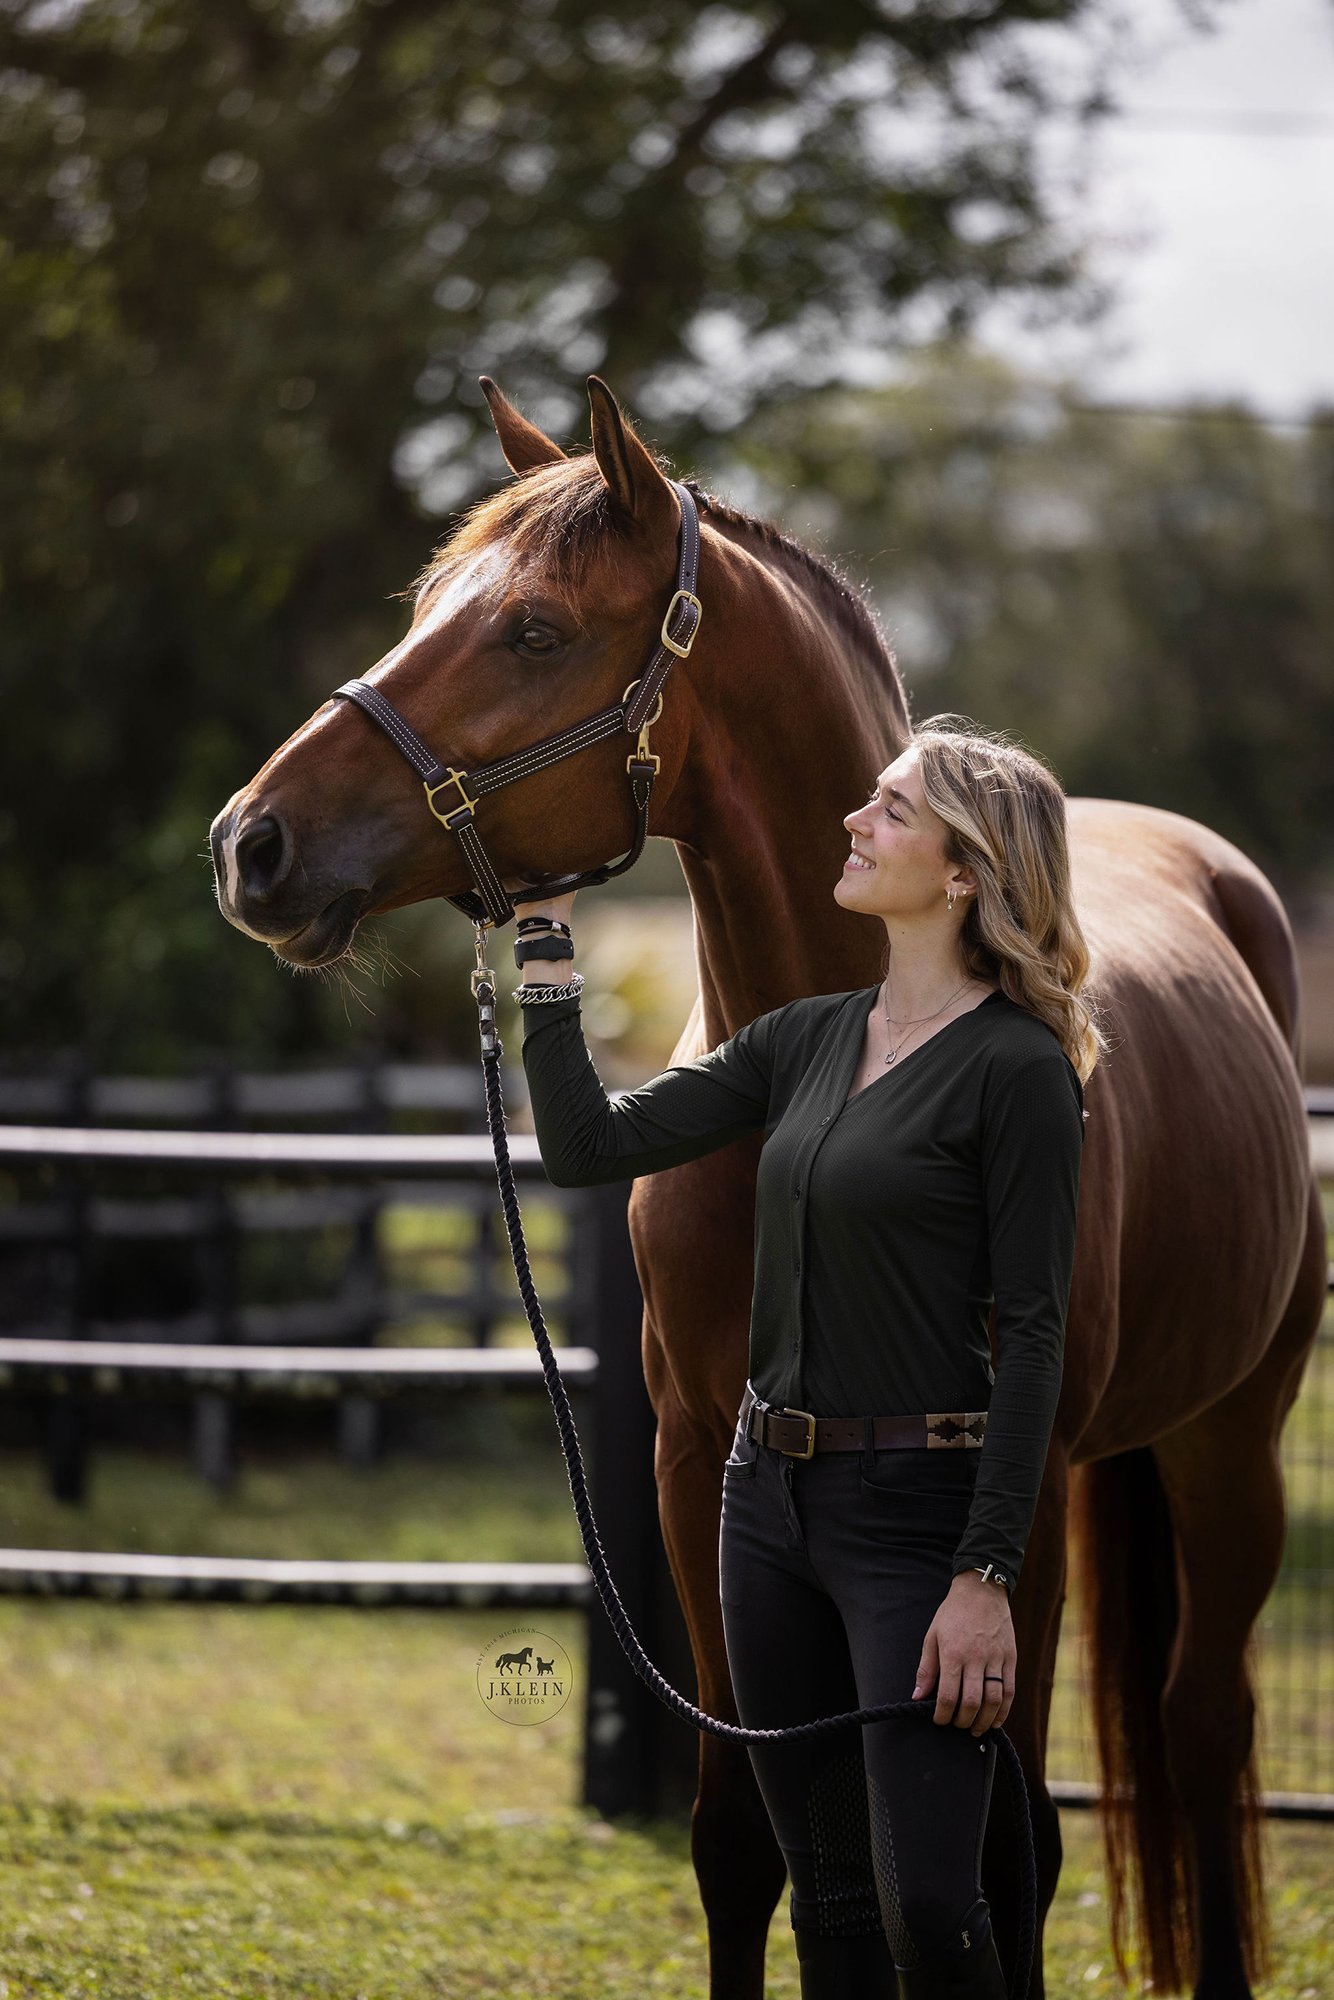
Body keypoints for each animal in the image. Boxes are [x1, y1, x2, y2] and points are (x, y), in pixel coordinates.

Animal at [209, 374, 1325, 2000]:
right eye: (425, 605)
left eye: (532, 629)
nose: (252, 843)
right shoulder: (697, 1473)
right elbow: (755, 1846)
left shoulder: (1015, 1504)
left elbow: (1007, 1857)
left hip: (1227, 1445)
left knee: (1197, 1739)